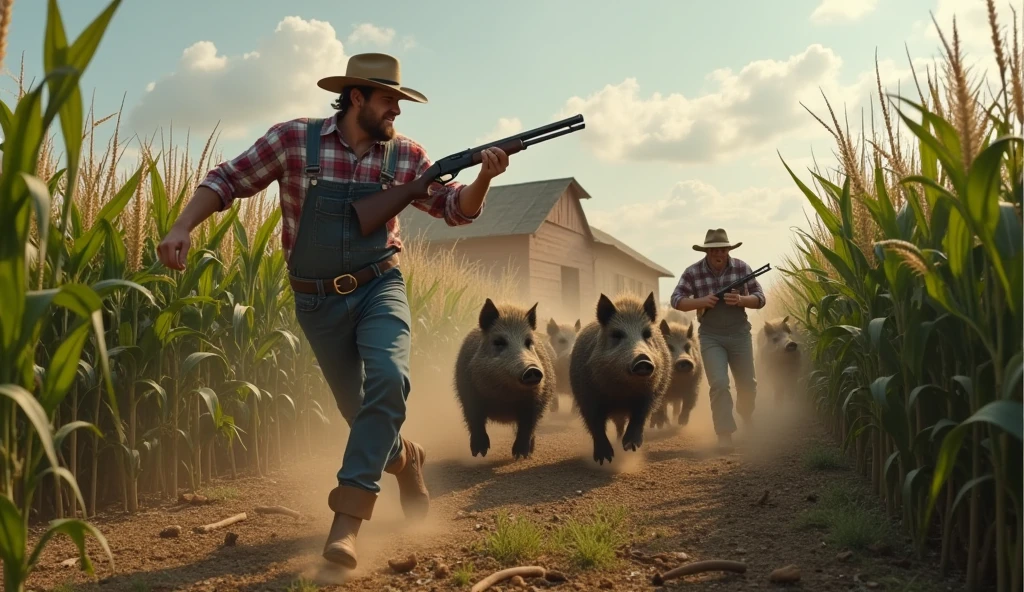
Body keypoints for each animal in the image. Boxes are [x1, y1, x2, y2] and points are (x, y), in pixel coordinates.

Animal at [454, 297, 552, 458]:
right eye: (499, 342)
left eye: (528, 342)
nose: (532, 369)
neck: (505, 397)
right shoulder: (467, 393)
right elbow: (475, 420)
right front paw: (479, 453)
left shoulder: (538, 399)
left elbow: (527, 425)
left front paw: (520, 456)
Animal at [569, 292, 671, 462]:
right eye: (617, 334)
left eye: (647, 334)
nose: (642, 359)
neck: (622, 392)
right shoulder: (586, 396)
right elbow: (595, 424)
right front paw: (605, 459)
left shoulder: (651, 394)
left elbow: (639, 416)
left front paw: (630, 447)